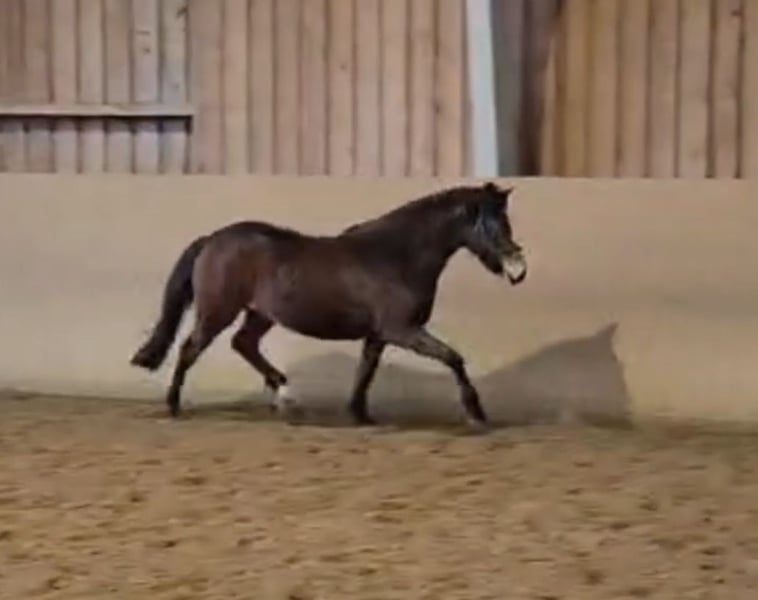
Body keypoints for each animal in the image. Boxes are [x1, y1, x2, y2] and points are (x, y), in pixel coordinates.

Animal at [129, 181, 528, 430]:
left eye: (506, 220)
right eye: (492, 223)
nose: (517, 268)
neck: (396, 255)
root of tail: (213, 238)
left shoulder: (379, 334)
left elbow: (366, 372)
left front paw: (360, 415)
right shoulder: (402, 330)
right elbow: (453, 358)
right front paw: (476, 413)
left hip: (259, 314)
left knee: (243, 344)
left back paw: (286, 397)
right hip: (217, 311)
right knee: (190, 348)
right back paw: (173, 406)